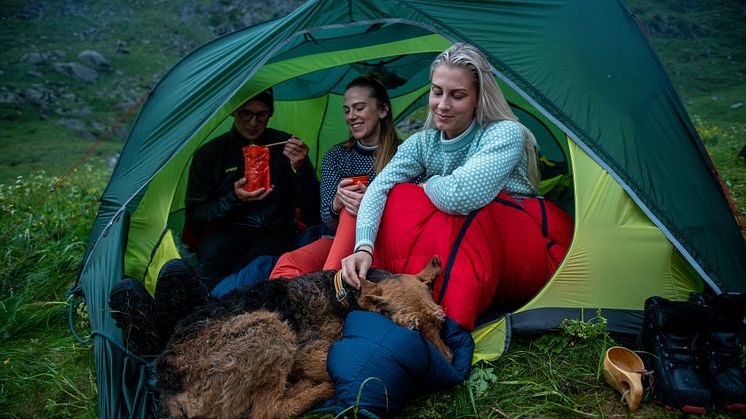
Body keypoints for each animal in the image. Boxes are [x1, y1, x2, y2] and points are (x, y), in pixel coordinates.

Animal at [157, 256, 448, 419]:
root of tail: (168, 392)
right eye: (412, 329)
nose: (450, 365)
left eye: (440, 321)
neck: (341, 296)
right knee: (268, 411)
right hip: (269, 327)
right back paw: (317, 389)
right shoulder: (306, 353)